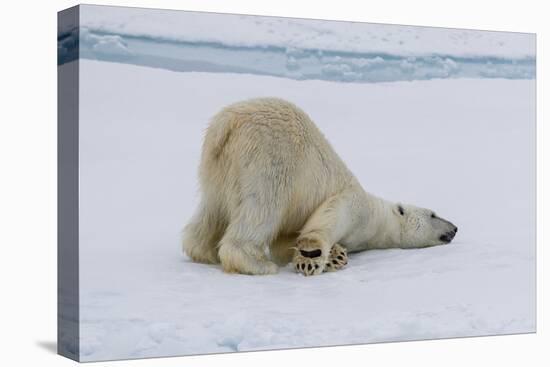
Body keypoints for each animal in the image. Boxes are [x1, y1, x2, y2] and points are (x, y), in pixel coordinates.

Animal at [183, 98, 460, 276]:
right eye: (433, 214)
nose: (455, 228)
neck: (377, 220)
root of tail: (226, 123)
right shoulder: (354, 204)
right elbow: (328, 217)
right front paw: (313, 255)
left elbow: (286, 241)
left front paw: (335, 256)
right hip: (269, 160)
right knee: (261, 209)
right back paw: (257, 264)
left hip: (217, 169)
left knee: (212, 212)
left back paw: (203, 252)